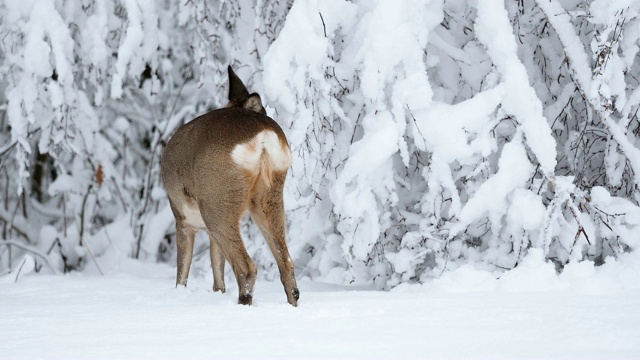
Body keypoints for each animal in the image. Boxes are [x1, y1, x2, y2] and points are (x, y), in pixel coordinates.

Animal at [160, 66, 300, 306]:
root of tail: (263, 136)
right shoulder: (209, 233)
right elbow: (218, 275)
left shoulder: (183, 220)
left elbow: (182, 273)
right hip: (269, 196)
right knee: (287, 264)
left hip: (216, 201)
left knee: (247, 267)